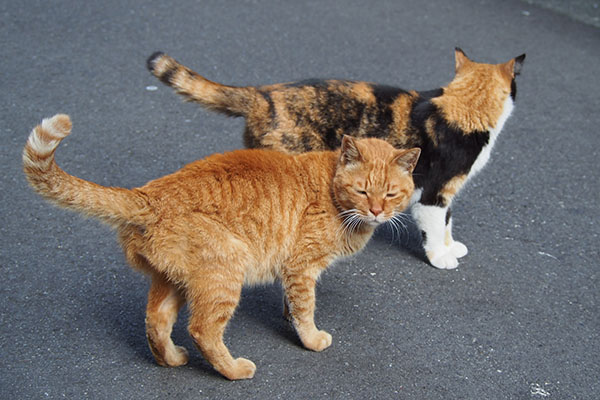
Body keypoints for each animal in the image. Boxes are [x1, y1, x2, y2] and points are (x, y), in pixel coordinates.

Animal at [22, 114, 418, 380]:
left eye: (390, 194)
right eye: (363, 191)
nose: (377, 211)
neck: (334, 197)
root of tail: (149, 193)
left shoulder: (293, 272)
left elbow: (292, 302)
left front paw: (287, 317)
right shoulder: (302, 266)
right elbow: (306, 308)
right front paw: (310, 338)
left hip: (174, 279)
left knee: (156, 320)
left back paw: (171, 359)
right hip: (226, 270)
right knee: (203, 330)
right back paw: (234, 370)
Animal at [146, 48, 524, 270]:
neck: (464, 105)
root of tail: (262, 95)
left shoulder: (445, 193)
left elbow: (447, 222)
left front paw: (451, 247)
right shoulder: (436, 191)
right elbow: (434, 225)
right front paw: (440, 257)